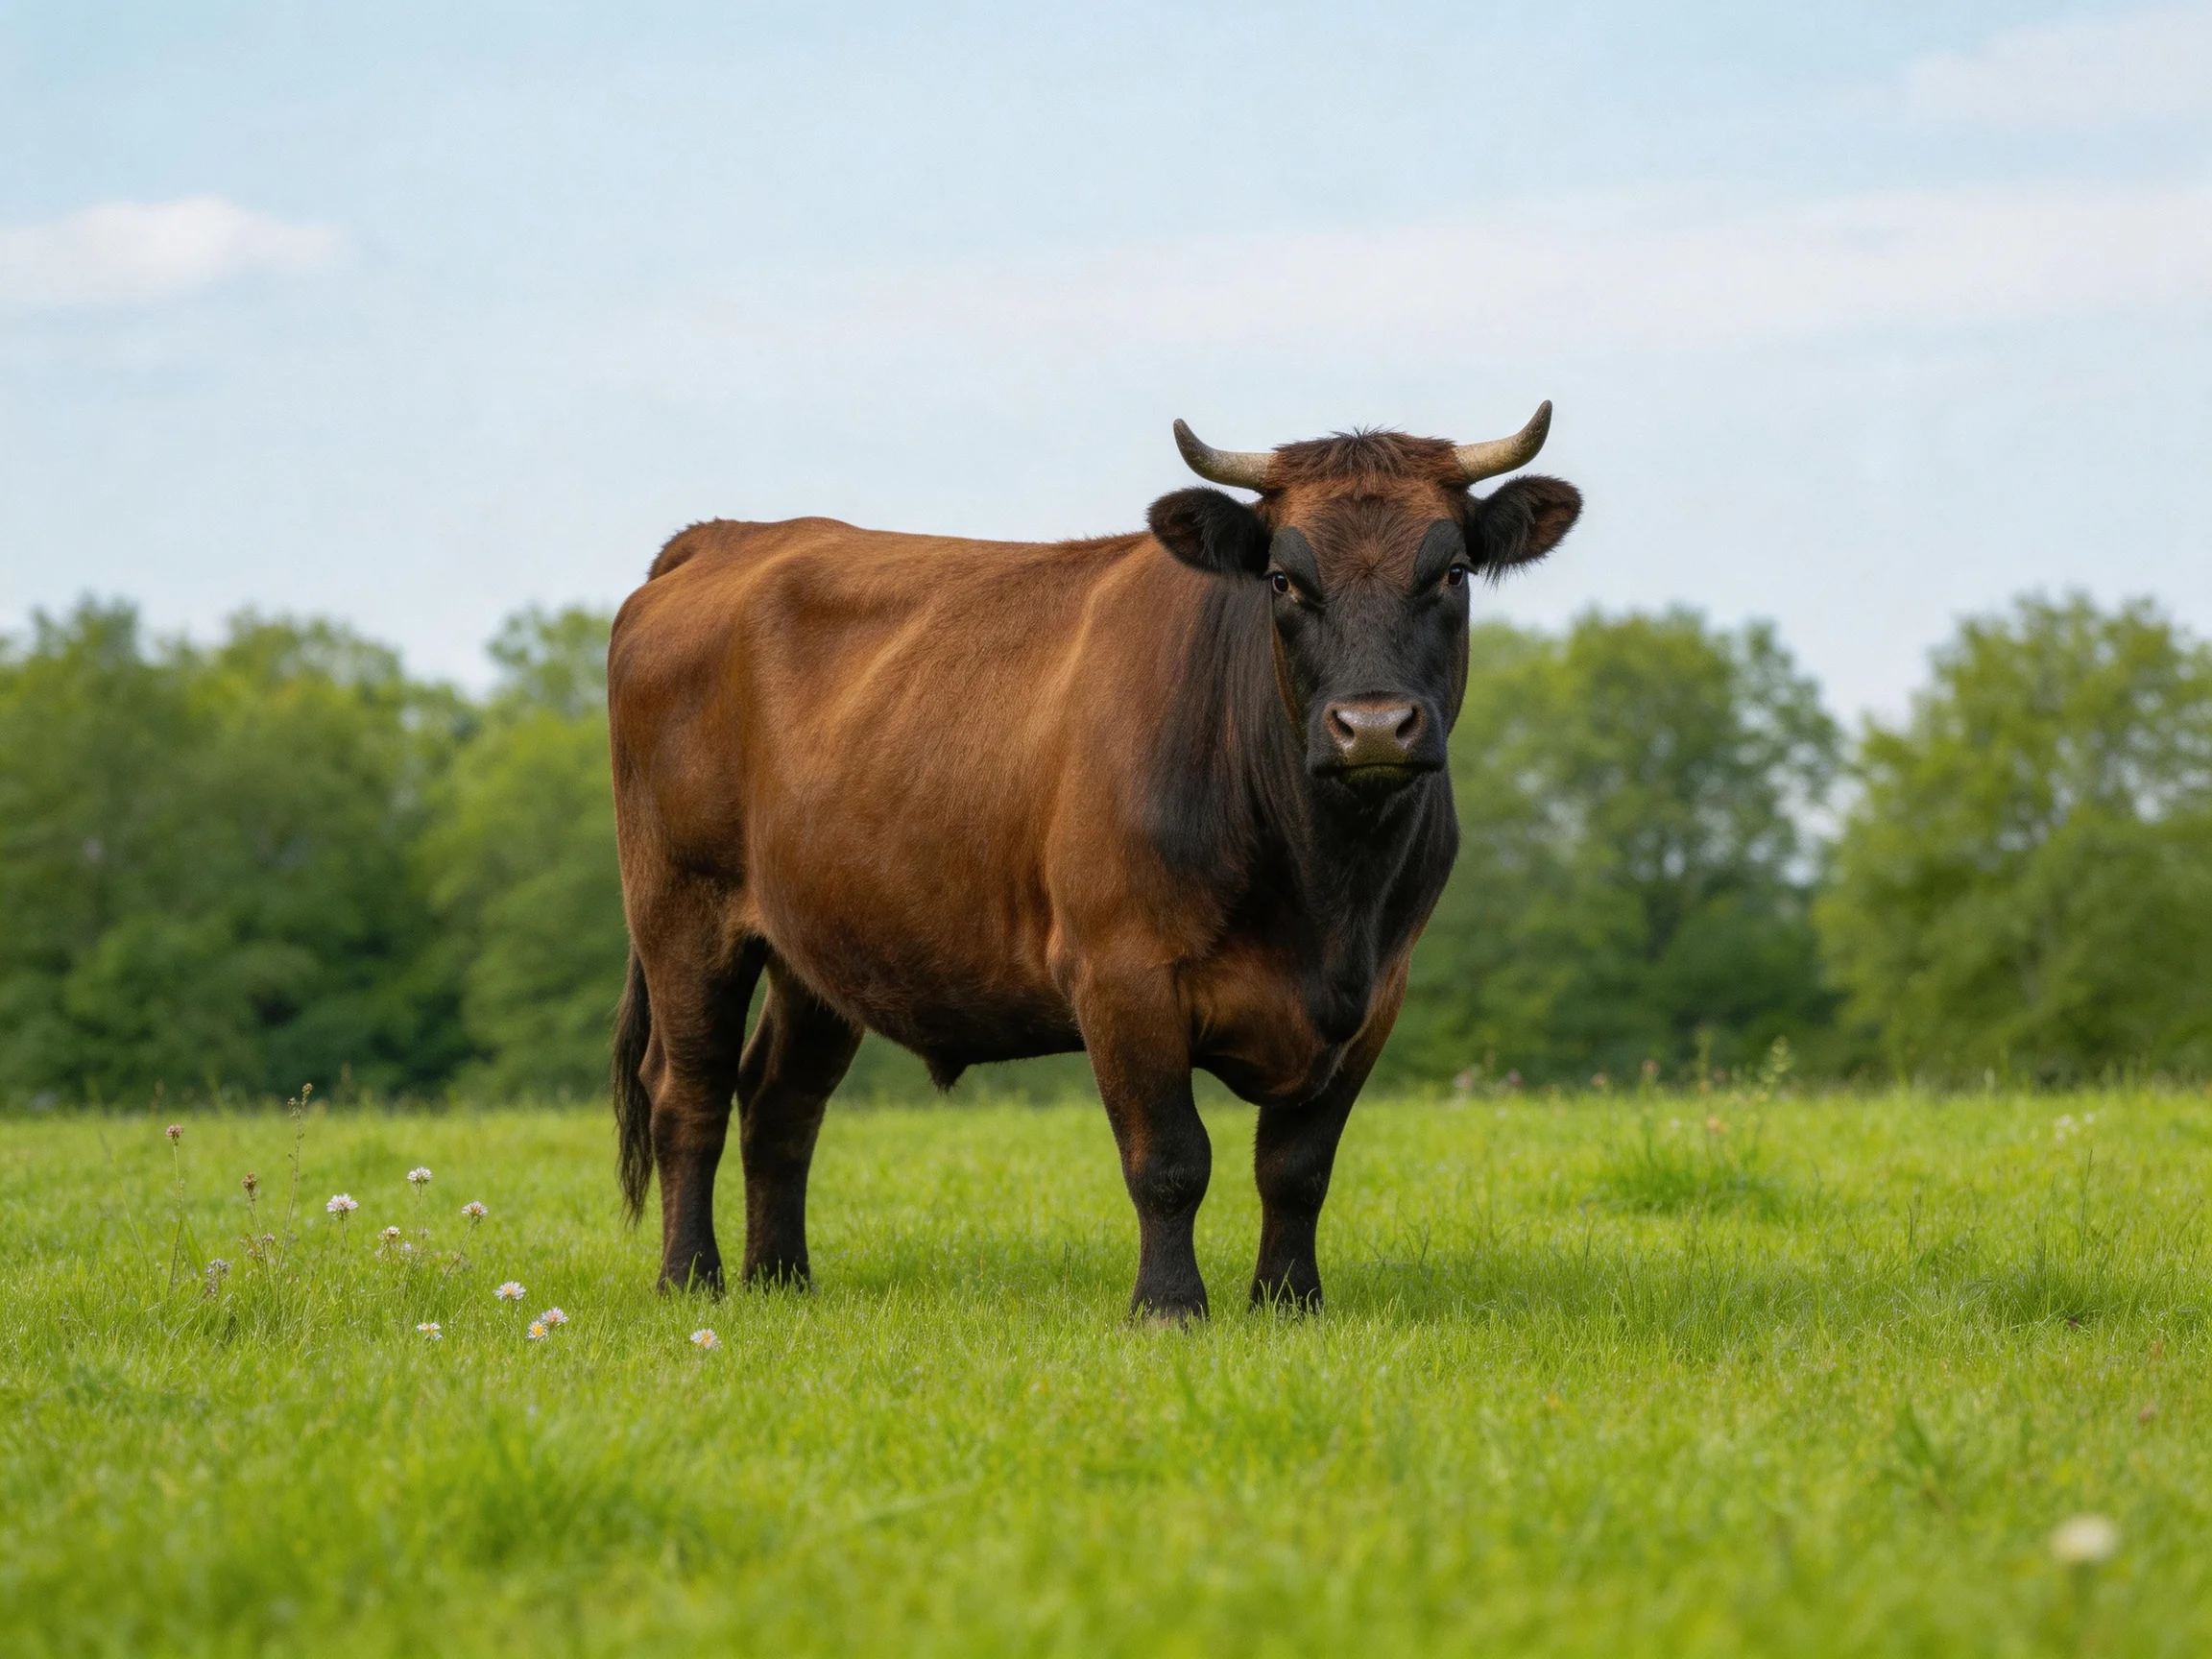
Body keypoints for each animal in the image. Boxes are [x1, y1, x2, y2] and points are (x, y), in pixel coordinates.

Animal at [607, 408, 1581, 1319]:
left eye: (1452, 573)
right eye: (1283, 579)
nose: (1373, 727)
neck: (1327, 891)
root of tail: (731, 535)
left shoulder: (1376, 993)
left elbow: (1298, 1167)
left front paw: (1288, 1303)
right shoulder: (1122, 973)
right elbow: (1170, 1160)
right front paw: (1169, 1307)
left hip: (820, 945)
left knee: (780, 1101)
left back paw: (782, 1282)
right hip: (681, 909)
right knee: (688, 1093)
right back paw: (691, 1281)